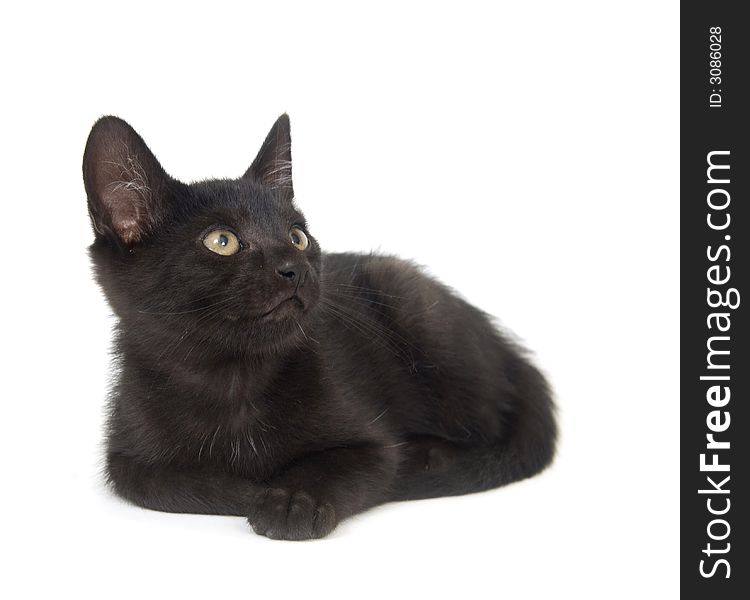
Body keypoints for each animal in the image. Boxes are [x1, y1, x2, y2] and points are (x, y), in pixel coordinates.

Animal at [83, 115, 560, 540]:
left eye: (297, 237)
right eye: (221, 241)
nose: (294, 267)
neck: (232, 379)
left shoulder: (371, 443)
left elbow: (345, 464)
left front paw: (294, 500)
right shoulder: (125, 460)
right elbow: (175, 483)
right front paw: (253, 489)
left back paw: (430, 454)